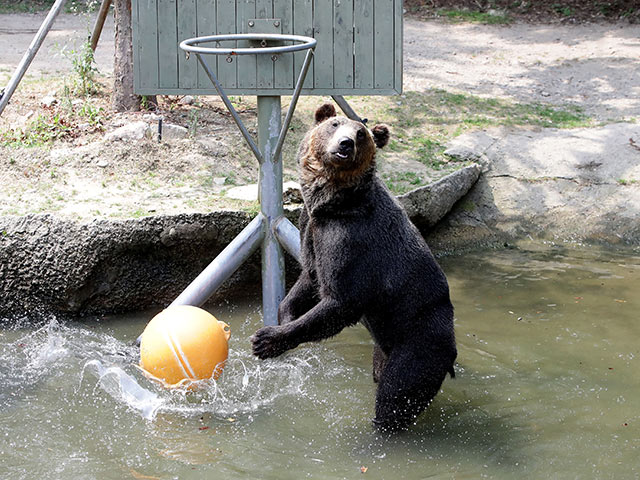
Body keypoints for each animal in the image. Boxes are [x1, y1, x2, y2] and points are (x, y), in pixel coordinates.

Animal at [250, 103, 456, 434]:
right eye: (334, 124)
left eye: (361, 134)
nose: (345, 144)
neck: (333, 204)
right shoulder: (312, 229)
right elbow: (310, 275)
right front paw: (285, 317)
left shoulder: (351, 241)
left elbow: (341, 299)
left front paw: (267, 339)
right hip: (384, 346)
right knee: (382, 376)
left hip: (420, 340)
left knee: (397, 393)